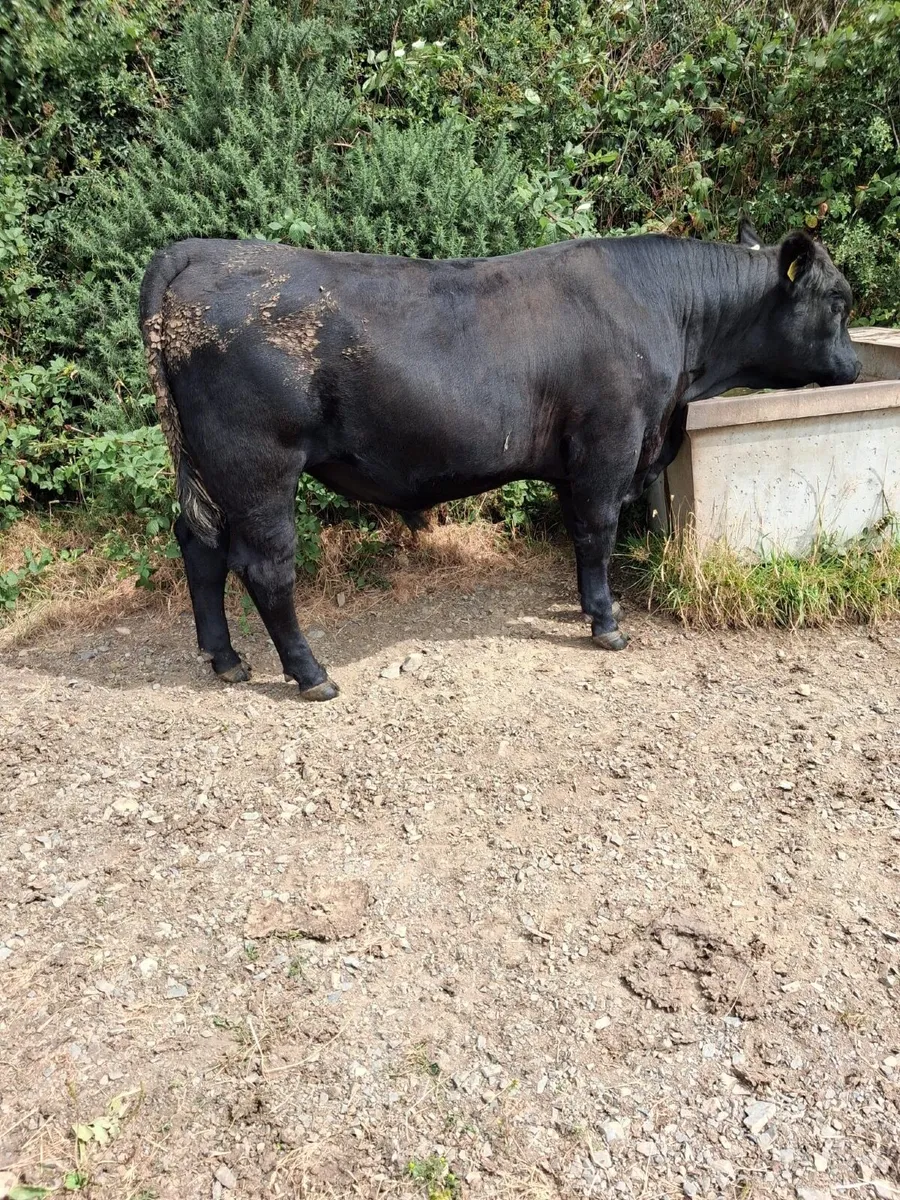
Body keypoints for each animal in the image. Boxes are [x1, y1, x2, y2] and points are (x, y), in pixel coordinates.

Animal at [139, 219, 859, 700]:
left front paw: (587, 606)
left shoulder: (576, 459)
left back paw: (226, 659)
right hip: (258, 466)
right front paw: (607, 624)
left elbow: (580, 535)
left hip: (209, 468)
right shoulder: (611, 442)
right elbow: (599, 531)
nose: (854, 366)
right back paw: (310, 674)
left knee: (199, 546)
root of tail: (201, 249)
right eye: (838, 301)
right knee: (264, 566)